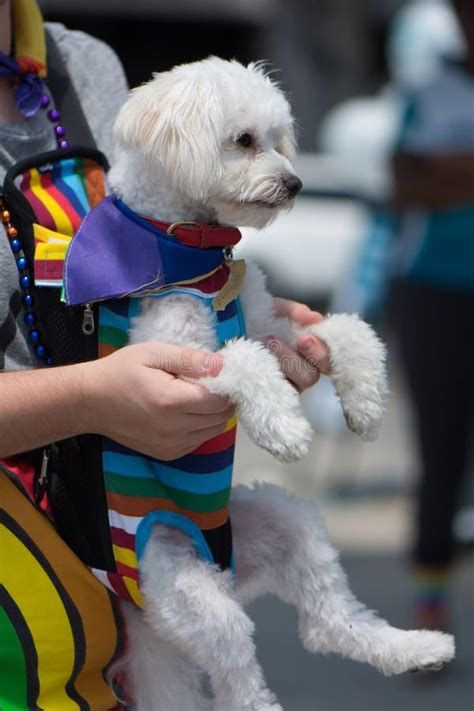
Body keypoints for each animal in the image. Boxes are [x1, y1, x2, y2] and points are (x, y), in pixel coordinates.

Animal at [93, 57, 456, 711]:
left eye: (277, 135)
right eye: (243, 140)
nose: (296, 184)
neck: (193, 254)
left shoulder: (273, 323)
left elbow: (346, 328)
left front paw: (367, 402)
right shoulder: (174, 360)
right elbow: (242, 359)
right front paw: (284, 425)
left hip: (286, 525)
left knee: (328, 622)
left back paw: (415, 648)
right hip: (186, 592)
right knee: (236, 674)